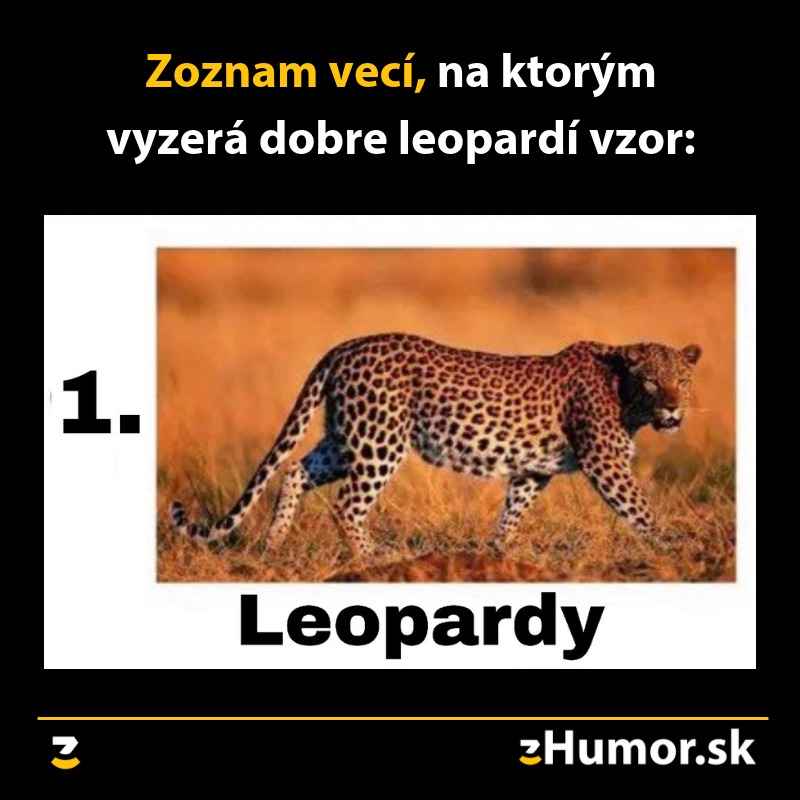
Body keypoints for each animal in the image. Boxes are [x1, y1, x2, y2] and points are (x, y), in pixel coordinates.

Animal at [170, 333, 701, 559]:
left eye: (681, 380)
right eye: (652, 382)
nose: (674, 409)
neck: (625, 397)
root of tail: (344, 347)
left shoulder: (534, 470)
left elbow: (513, 511)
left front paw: (496, 552)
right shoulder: (604, 461)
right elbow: (640, 509)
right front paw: (675, 549)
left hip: (346, 437)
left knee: (295, 470)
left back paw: (272, 542)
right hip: (380, 440)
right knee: (346, 504)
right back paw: (375, 556)